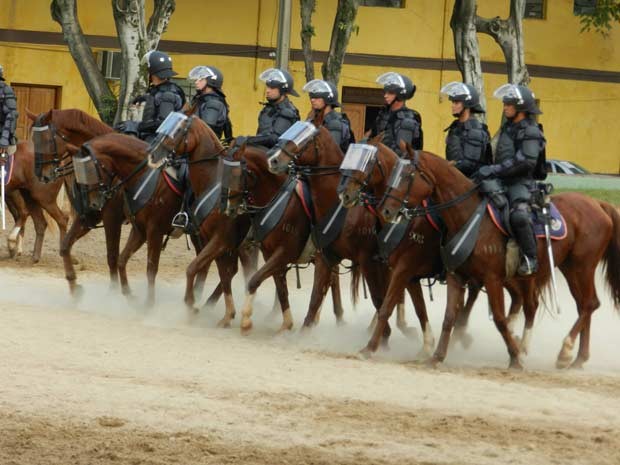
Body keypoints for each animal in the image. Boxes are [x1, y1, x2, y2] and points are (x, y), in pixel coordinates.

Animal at [219, 140, 346, 332]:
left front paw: (246, 318)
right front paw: (286, 323)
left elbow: (255, 279)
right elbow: (281, 288)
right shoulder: (270, 254)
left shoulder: (284, 253)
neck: (278, 202)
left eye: (236, 174)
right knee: (332, 279)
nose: (229, 208)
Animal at [268, 115, 422, 340]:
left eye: (305, 139)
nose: (273, 159)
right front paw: (304, 331)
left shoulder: (368, 260)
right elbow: (316, 296)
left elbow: (378, 297)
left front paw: (383, 335)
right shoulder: (326, 256)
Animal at [380, 147, 616, 368]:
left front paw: (515, 358)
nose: (386, 210)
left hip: (581, 267)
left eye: (408, 175)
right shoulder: (456, 276)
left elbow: (499, 318)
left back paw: (565, 352)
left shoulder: (491, 279)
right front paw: (437, 356)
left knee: (588, 304)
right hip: (565, 269)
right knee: (575, 305)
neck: (469, 216)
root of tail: (598, 204)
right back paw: (577, 358)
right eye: (393, 172)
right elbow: (449, 317)